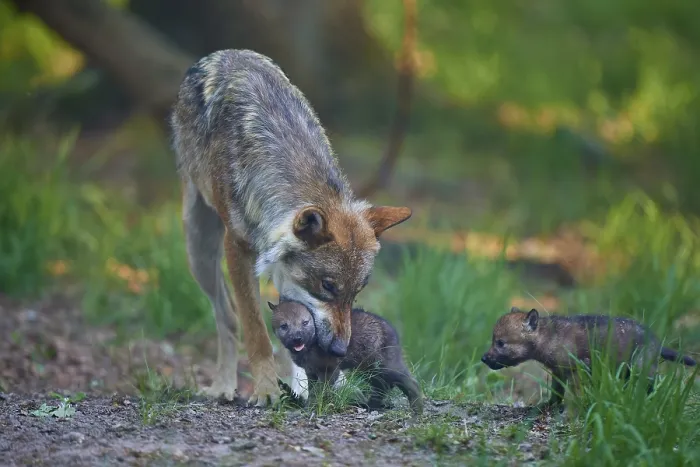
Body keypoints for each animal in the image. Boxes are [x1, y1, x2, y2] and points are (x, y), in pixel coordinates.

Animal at [170, 49, 412, 405]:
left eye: (357, 291)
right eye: (328, 286)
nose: (340, 349)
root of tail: (224, 52)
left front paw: (306, 385)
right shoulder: (237, 250)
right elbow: (256, 332)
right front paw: (267, 392)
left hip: (278, 276)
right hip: (199, 253)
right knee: (227, 319)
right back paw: (223, 386)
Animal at [269, 300, 423, 414]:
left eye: (305, 322)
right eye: (284, 326)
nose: (297, 339)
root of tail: (391, 329)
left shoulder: (330, 371)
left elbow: (319, 391)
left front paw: (313, 408)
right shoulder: (310, 372)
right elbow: (312, 390)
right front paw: (309, 406)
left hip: (386, 366)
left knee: (411, 381)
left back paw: (417, 410)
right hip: (369, 369)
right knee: (383, 386)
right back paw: (371, 405)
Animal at [481, 307, 696, 406]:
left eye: (500, 343)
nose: (483, 358)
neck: (549, 337)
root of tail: (657, 344)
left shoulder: (580, 368)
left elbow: (577, 391)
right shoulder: (559, 371)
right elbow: (557, 391)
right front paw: (549, 405)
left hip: (641, 369)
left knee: (650, 386)